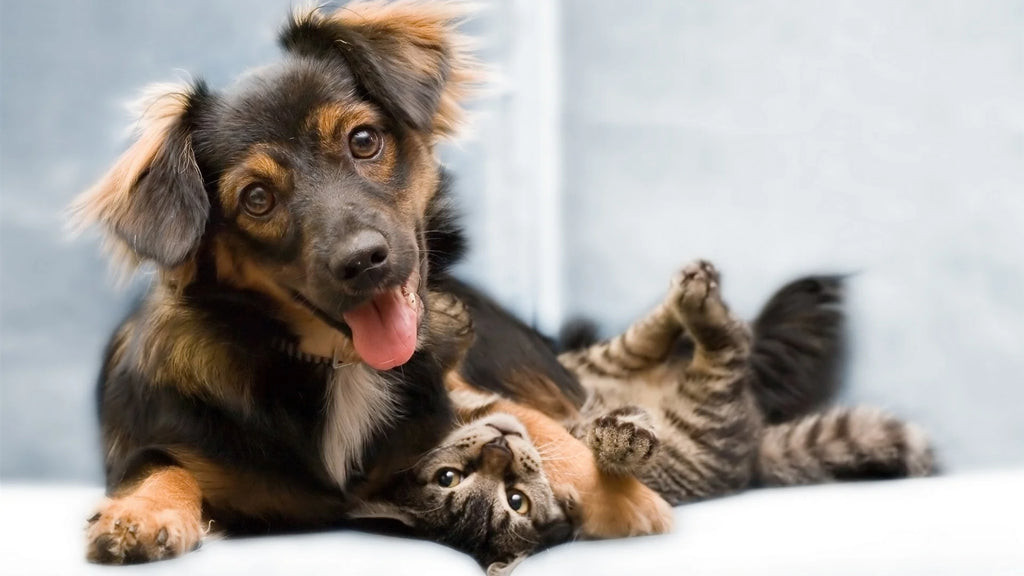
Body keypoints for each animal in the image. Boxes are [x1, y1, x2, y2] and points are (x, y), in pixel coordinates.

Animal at [354, 261, 937, 569]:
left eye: (449, 477)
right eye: (513, 502)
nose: (498, 447)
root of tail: (753, 448)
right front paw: (622, 438)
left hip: (595, 364)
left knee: (643, 340)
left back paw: (688, 293)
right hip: (704, 410)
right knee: (727, 346)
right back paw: (700, 307)